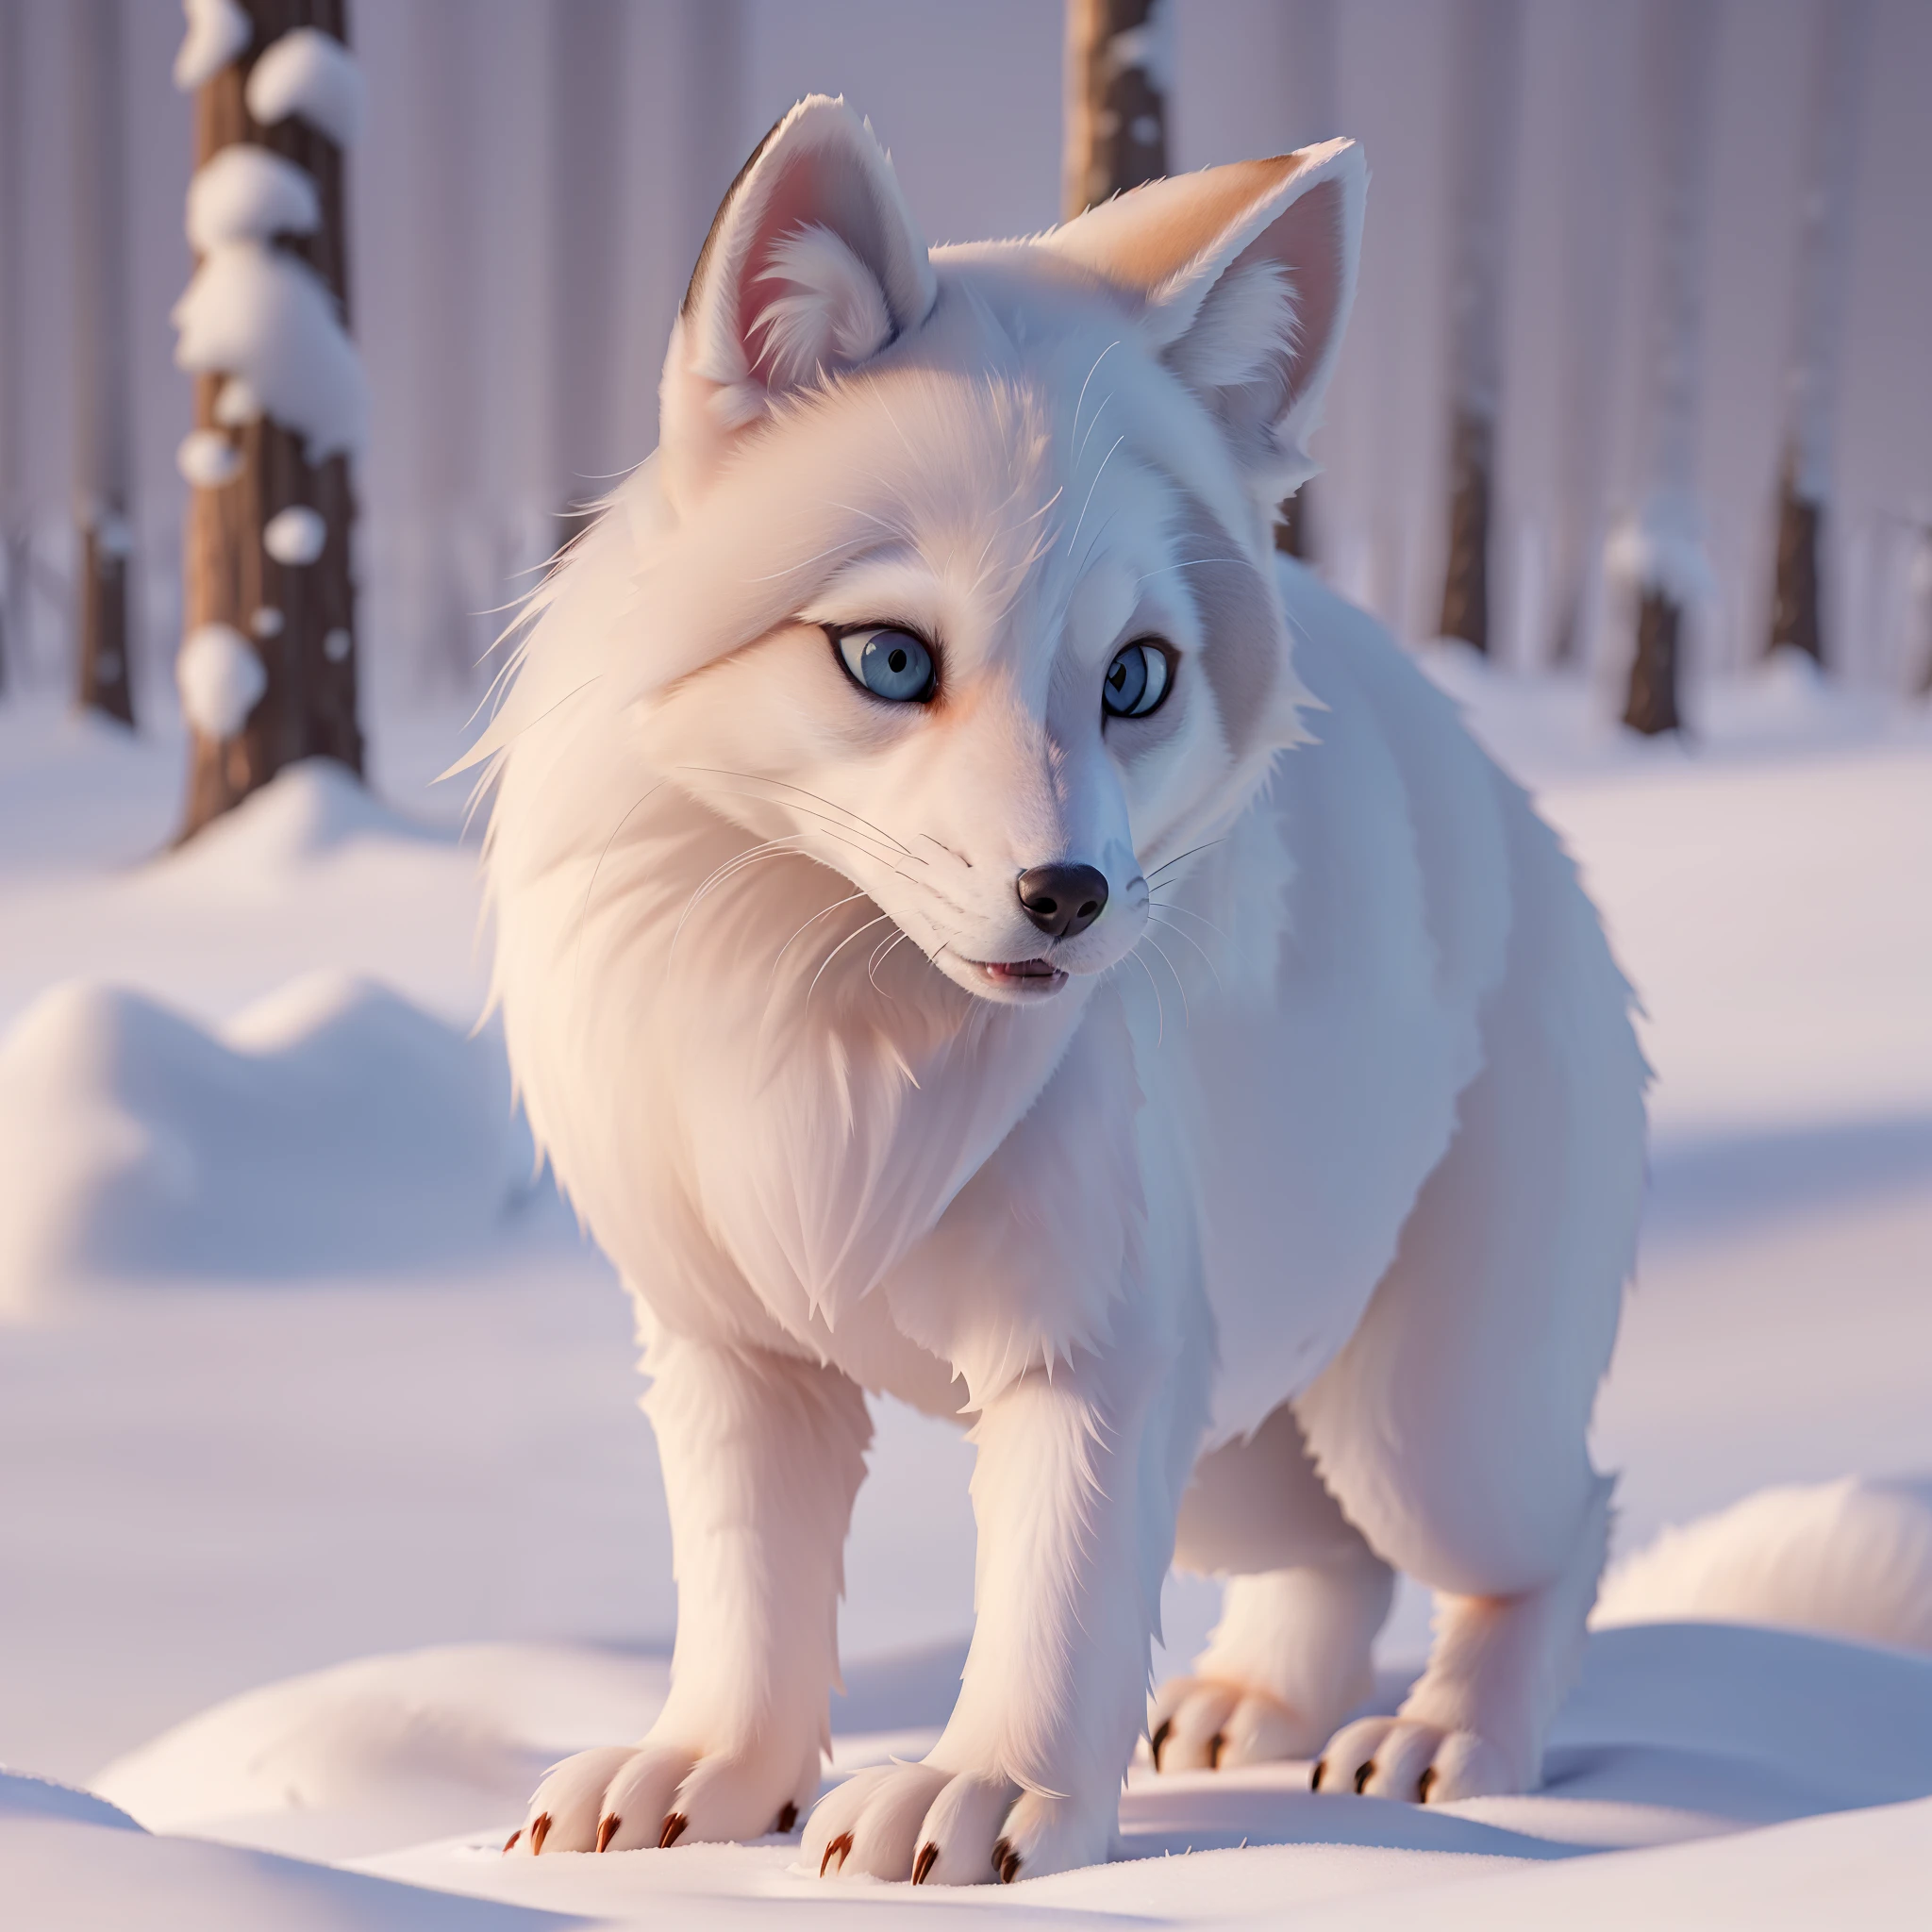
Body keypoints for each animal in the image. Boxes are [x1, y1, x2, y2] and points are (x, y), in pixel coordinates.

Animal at [478, 97, 1645, 1877]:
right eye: (890, 659)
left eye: (1133, 679)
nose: (1071, 896)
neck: (834, 1037)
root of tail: (1520, 821)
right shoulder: (738, 1349)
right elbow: (747, 1595)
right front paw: (708, 1778)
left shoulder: (1097, 1351)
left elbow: (1054, 1597)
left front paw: (984, 1803)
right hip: (1247, 1421)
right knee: (1332, 1556)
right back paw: (1246, 1709)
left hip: (1415, 1425)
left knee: (1550, 1526)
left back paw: (1446, 1738)